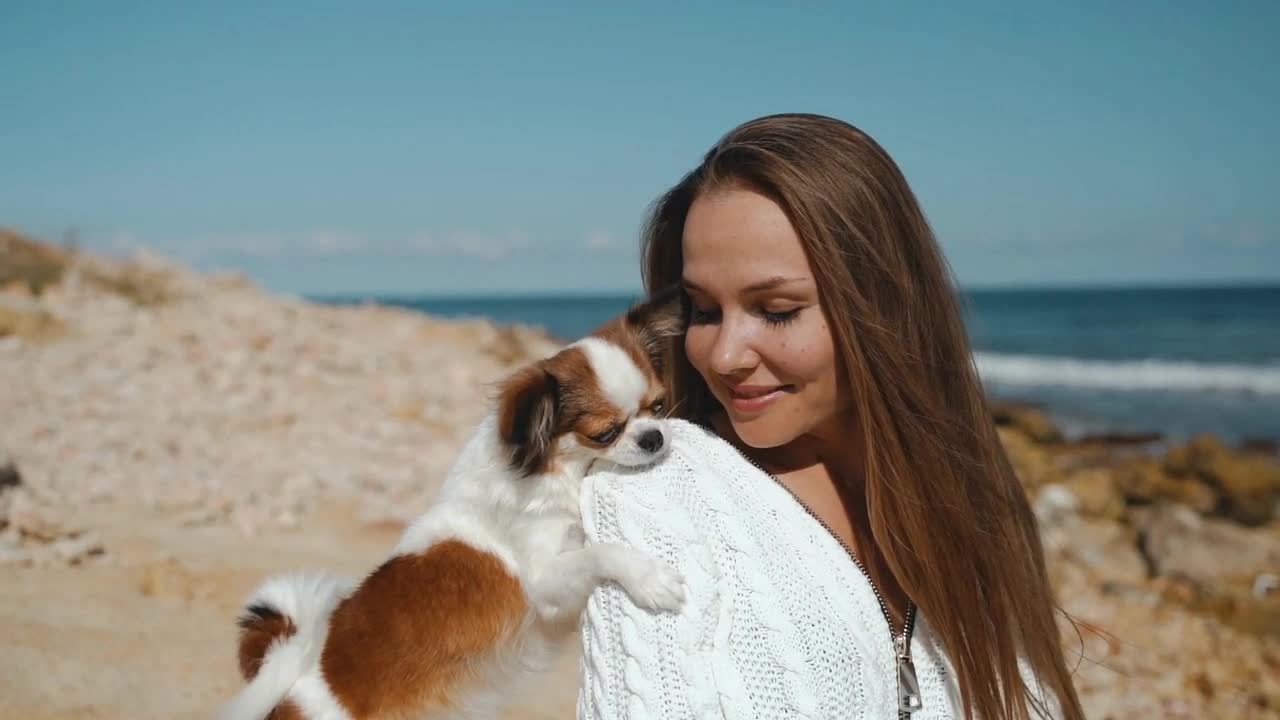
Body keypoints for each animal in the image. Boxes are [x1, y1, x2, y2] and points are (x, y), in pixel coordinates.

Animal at [215, 292, 686, 717]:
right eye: (604, 434)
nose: (653, 437)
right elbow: (602, 552)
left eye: (659, 406)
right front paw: (650, 578)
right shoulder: (543, 582)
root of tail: (288, 689)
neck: (554, 473)